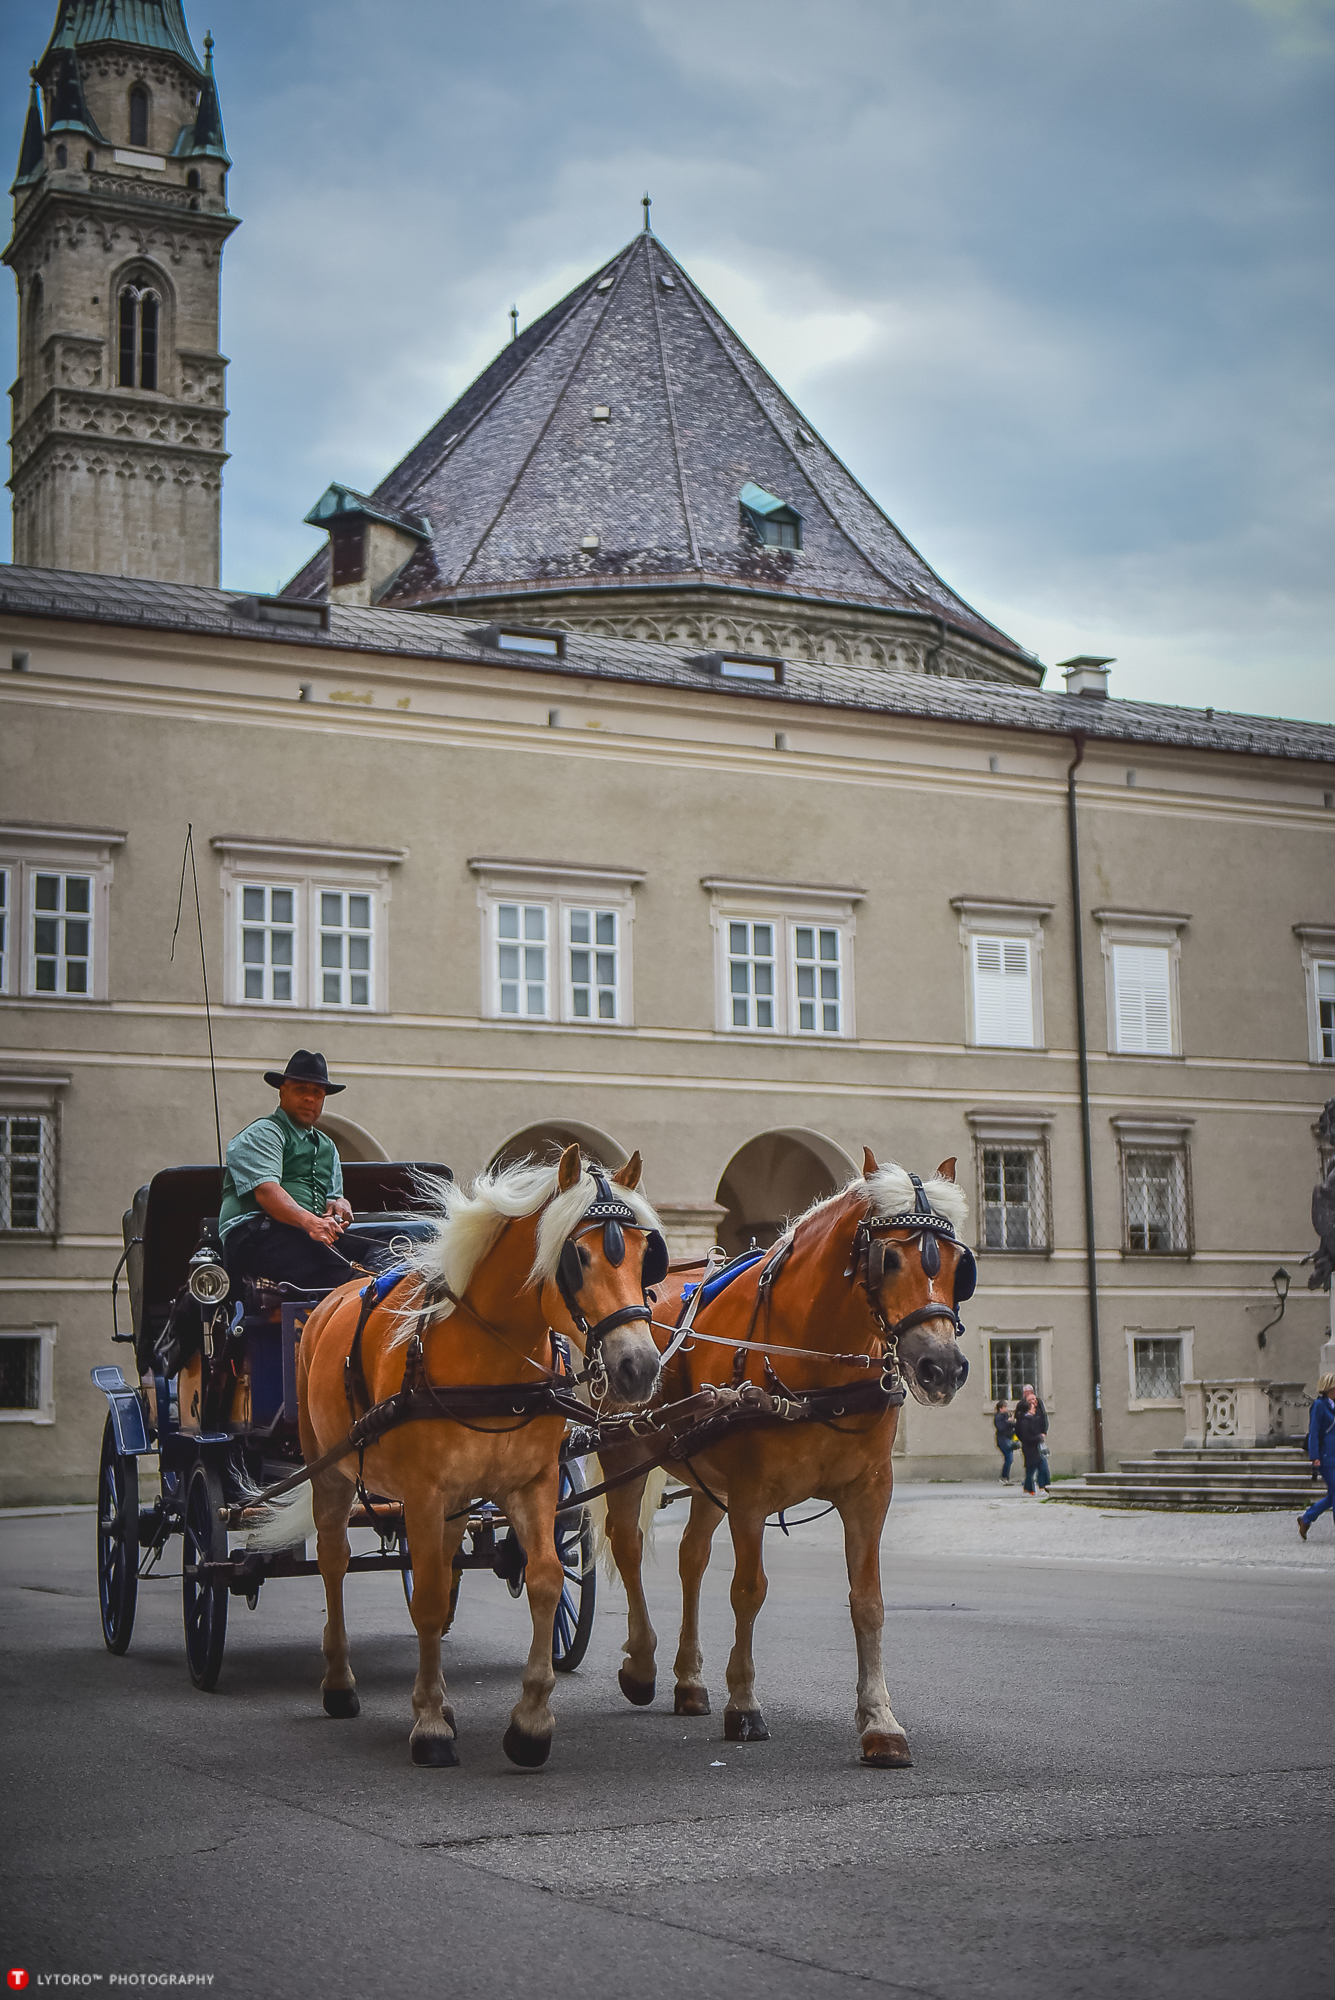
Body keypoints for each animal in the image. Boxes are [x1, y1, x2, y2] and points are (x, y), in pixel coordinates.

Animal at [244, 1144, 663, 1768]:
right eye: (579, 1256)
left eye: (642, 1256)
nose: (639, 1367)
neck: (491, 1360)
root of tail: (333, 1296)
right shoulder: (423, 1492)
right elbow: (429, 1596)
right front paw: (429, 1725)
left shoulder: (532, 1484)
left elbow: (542, 1578)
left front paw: (530, 1720)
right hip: (333, 1473)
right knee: (335, 1562)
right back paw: (341, 1683)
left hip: (454, 1501)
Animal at [595, 1160, 971, 1768]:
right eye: (888, 1260)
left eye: (960, 1265)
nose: (942, 1366)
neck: (815, 1364)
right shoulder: (751, 1495)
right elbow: (749, 1591)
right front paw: (744, 1703)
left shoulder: (870, 1492)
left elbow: (868, 1602)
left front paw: (879, 1721)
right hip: (623, 1449)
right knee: (627, 1545)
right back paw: (643, 1663)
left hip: (705, 1476)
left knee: (691, 1558)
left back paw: (689, 1680)